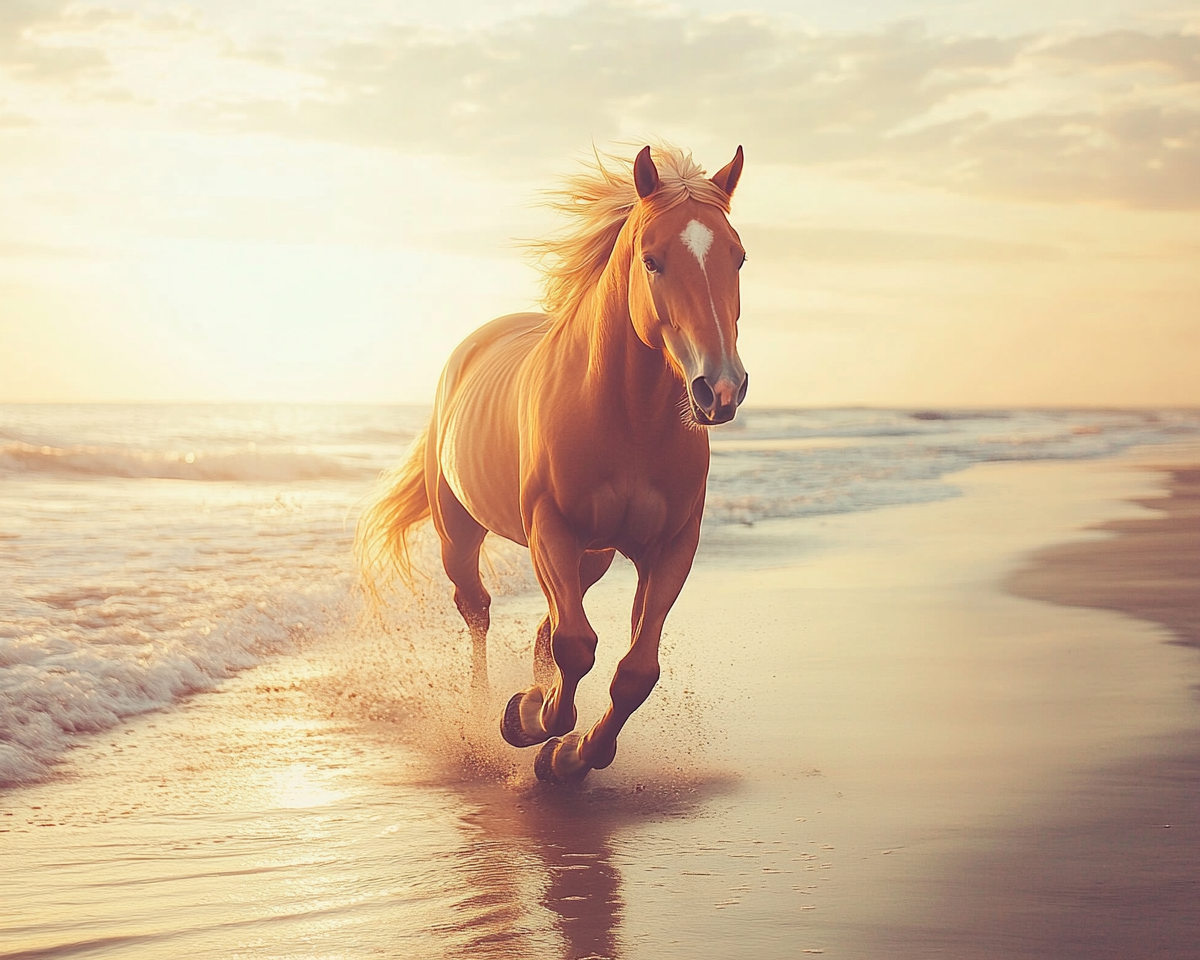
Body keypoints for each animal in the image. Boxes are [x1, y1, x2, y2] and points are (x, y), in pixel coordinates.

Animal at [357, 144, 748, 787]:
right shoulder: (552, 529)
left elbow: (635, 670)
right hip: (460, 535)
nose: (719, 388)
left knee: (545, 625)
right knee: (479, 611)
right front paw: (528, 720)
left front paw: (572, 755)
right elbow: (576, 646)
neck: (627, 418)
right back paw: (482, 711)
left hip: (593, 556)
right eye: (652, 260)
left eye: (738, 257)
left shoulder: (670, 546)